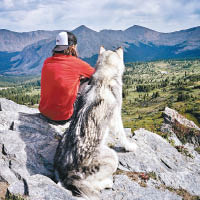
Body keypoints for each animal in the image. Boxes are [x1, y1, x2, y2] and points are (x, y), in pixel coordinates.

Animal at [54, 46, 137, 198]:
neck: (104, 76)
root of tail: (69, 174)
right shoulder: (116, 115)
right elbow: (122, 134)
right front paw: (129, 146)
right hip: (112, 157)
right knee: (92, 186)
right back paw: (107, 182)